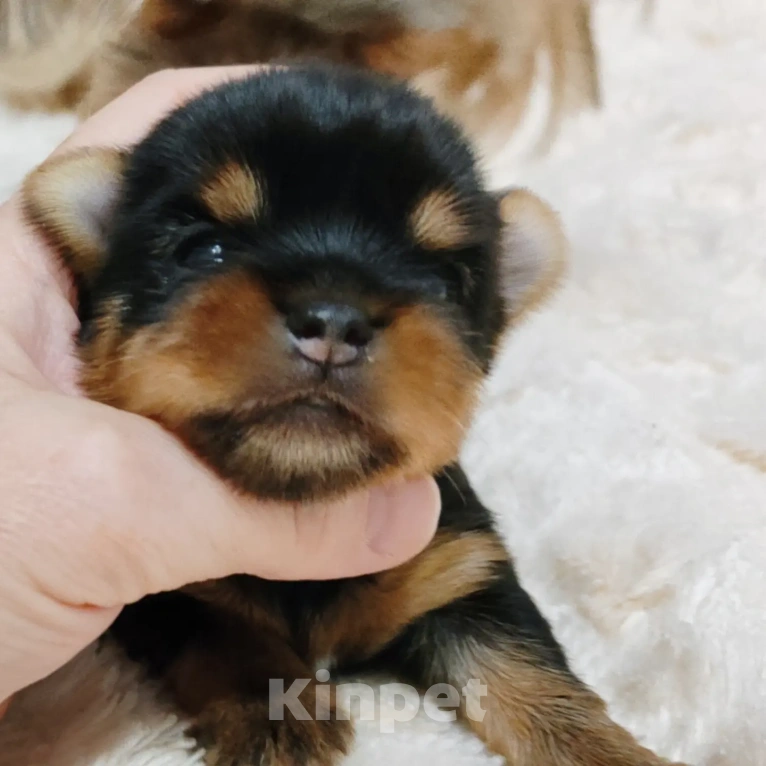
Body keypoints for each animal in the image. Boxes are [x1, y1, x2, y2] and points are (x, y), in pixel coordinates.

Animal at [19, 67, 680, 766]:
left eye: (443, 283)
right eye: (205, 249)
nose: (334, 321)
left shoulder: (461, 573)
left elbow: (529, 670)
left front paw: (606, 751)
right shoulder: (163, 590)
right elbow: (220, 628)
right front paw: (275, 712)